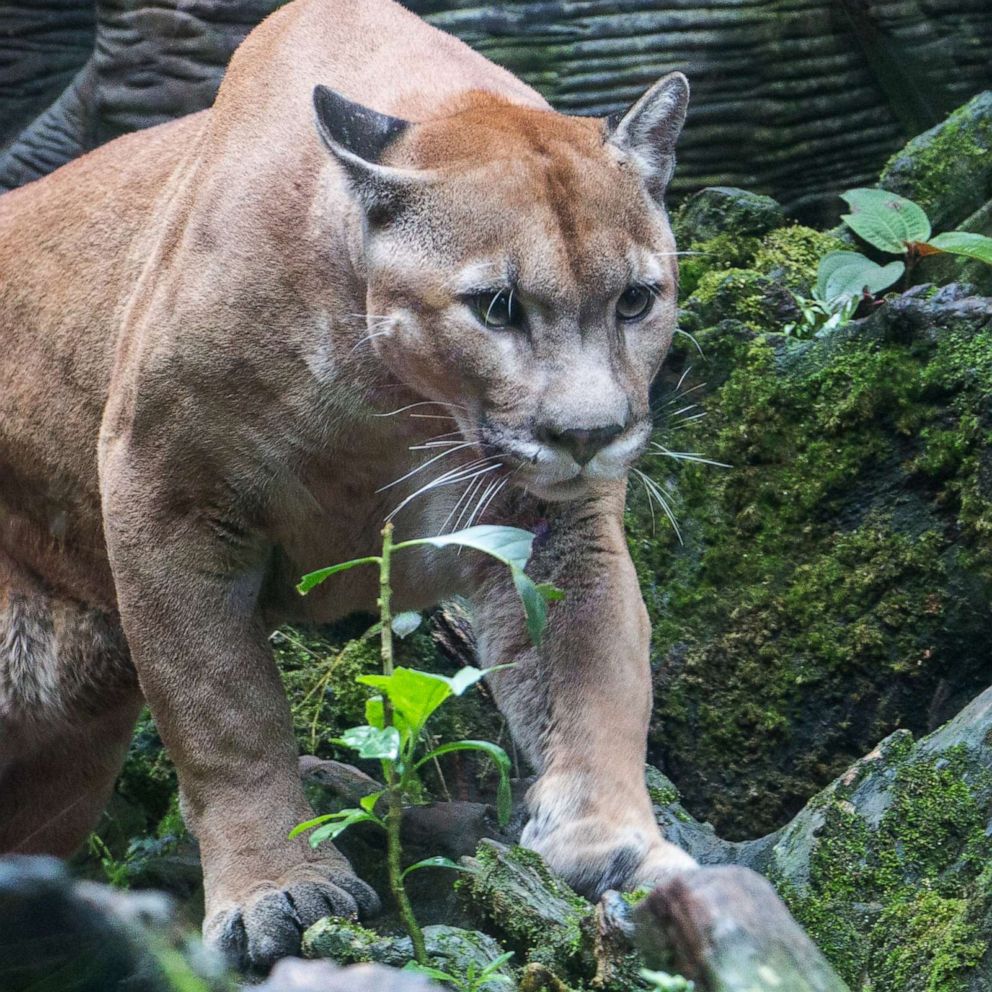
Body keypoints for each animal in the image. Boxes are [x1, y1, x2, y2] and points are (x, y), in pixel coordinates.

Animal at [0, 0, 692, 968]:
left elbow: (596, 674)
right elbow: (225, 712)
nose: (589, 436)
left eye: (635, 300)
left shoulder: (555, 526)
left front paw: (615, 846)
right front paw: (276, 889)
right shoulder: (164, 495)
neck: (397, 403)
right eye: (497, 307)